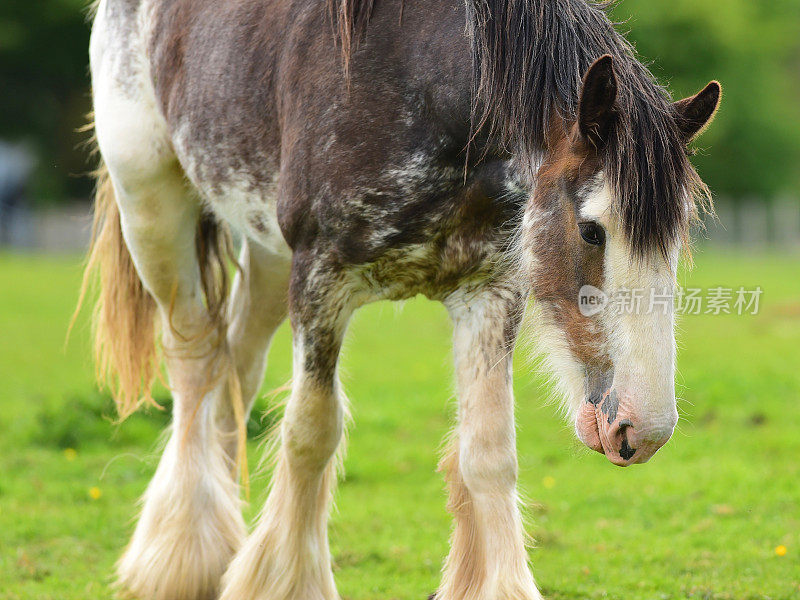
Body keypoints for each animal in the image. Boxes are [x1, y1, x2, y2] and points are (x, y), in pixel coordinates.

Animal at [84, 0, 720, 596]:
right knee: (195, 361)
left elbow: (489, 453)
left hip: (265, 246)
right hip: (151, 203)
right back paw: (182, 557)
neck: (417, 83)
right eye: (592, 230)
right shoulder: (321, 279)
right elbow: (310, 433)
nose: (643, 430)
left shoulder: (488, 292)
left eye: (677, 236)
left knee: (234, 366)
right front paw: (287, 581)